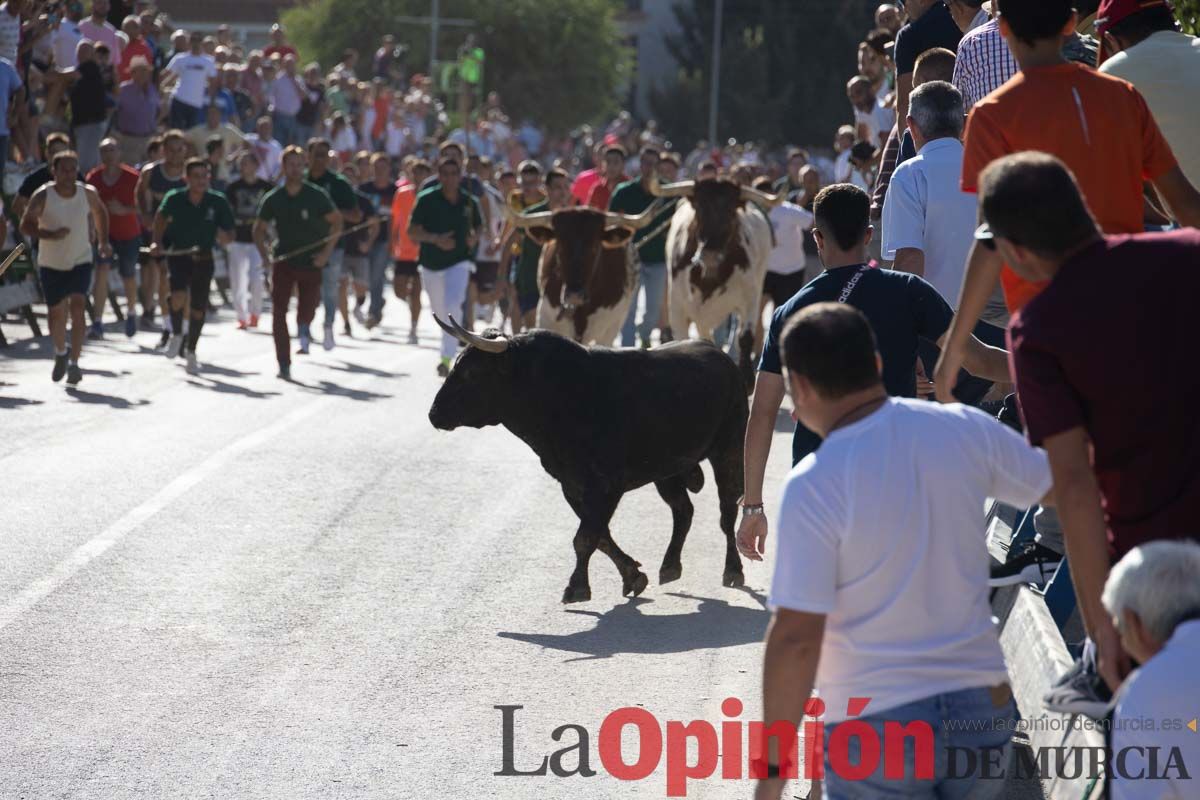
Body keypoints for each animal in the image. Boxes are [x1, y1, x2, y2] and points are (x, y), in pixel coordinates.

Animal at [427, 316, 744, 604]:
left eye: (471, 373)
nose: (434, 414)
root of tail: (722, 355)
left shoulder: (606, 486)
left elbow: (585, 537)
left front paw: (577, 588)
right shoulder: (572, 485)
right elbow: (599, 535)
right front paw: (632, 575)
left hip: (728, 452)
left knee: (727, 514)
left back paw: (733, 570)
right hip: (667, 471)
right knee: (683, 510)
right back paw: (670, 566)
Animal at [652, 177, 782, 388]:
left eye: (731, 210)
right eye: (699, 207)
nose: (710, 255)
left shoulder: (751, 298)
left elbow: (745, 337)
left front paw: (747, 376)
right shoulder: (678, 307)